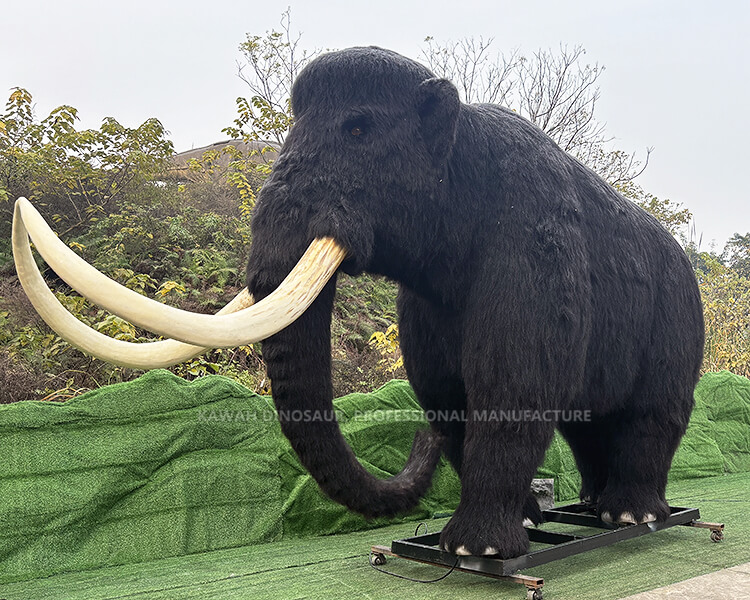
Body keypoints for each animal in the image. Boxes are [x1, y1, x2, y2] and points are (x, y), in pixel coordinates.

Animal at [12, 46, 704, 559]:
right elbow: (447, 395)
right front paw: (519, 529)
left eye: (358, 128)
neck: (465, 149)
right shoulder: (425, 304)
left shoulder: (533, 247)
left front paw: (473, 552)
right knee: (589, 423)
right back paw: (590, 509)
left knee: (652, 414)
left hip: (677, 321)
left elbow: (512, 383)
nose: (419, 444)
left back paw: (631, 516)